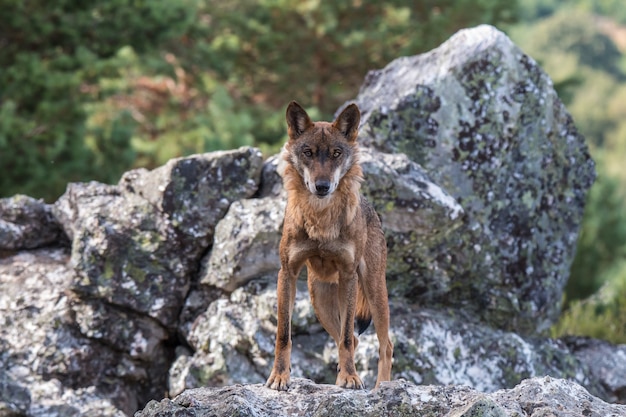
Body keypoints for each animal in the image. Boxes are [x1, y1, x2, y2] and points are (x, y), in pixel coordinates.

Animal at [264, 101, 390, 390]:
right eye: (308, 152)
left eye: (336, 153)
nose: (322, 186)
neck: (320, 218)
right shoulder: (287, 274)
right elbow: (283, 335)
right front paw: (279, 376)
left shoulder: (349, 275)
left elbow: (346, 339)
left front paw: (351, 379)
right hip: (320, 302)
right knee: (355, 340)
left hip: (373, 290)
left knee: (383, 344)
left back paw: (382, 386)